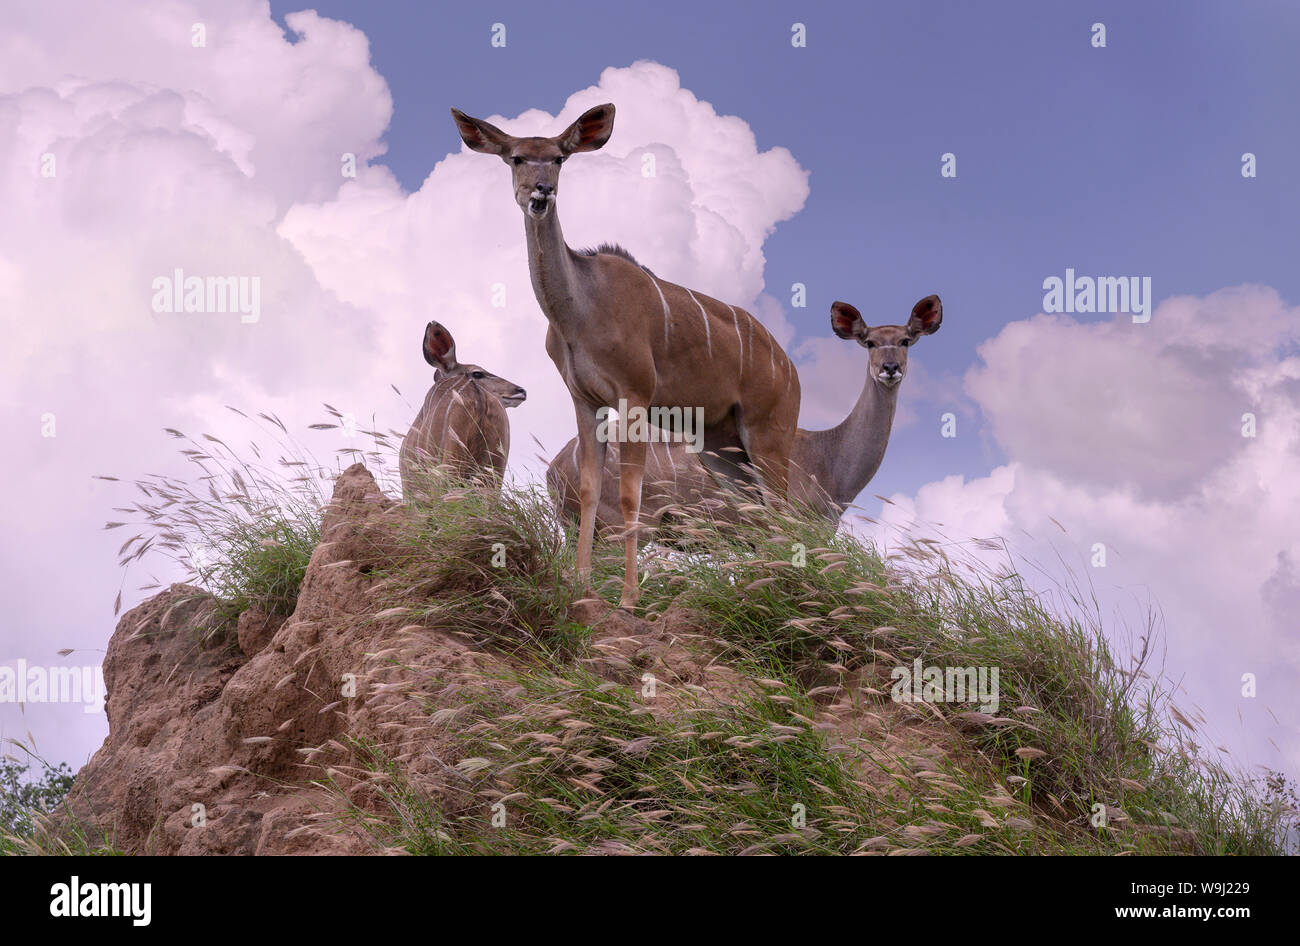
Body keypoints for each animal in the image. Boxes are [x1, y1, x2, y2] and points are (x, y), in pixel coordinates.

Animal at [451, 103, 800, 611]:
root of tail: (789, 367)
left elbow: (631, 496)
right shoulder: (585, 401)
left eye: (559, 158)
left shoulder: (635, 397)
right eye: (515, 157)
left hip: (767, 431)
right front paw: (581, 585)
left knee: (783, 508)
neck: (581, 307)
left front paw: (629, 599)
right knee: (758, 508)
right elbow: (591, 489)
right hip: (720, 444)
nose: (541, 191)